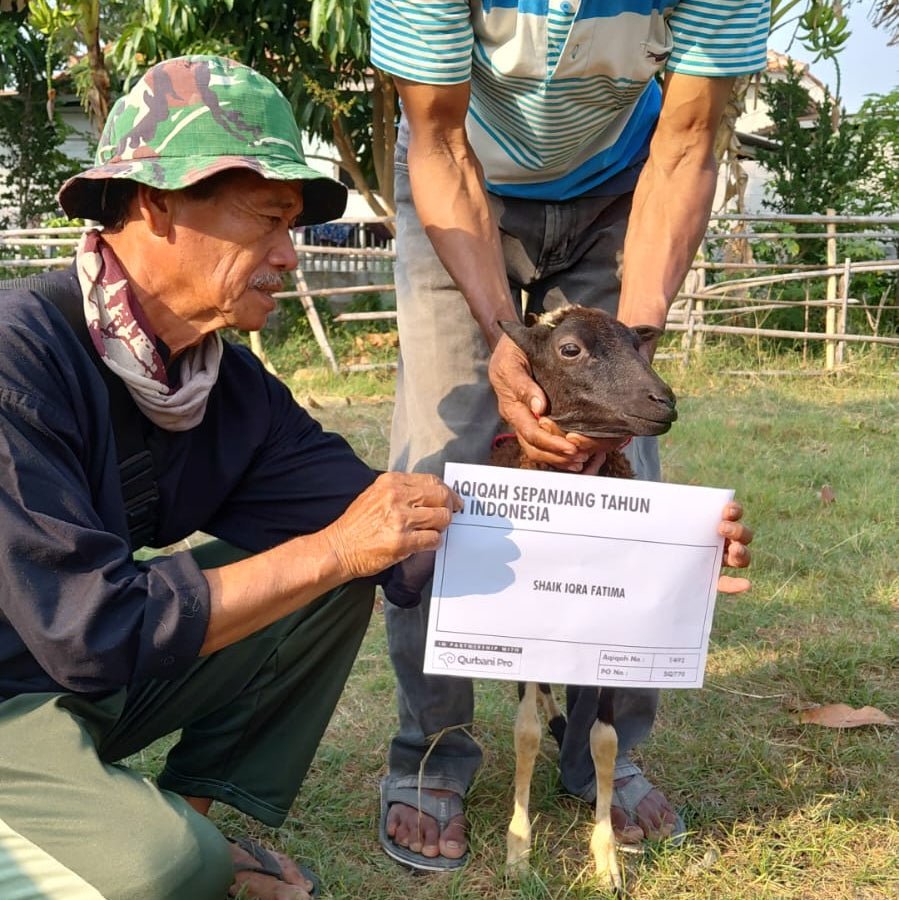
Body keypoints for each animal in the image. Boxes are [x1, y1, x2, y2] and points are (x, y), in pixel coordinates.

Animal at [489, 305, 677, 890]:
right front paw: (518, 852)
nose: (663, 401)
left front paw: (607, 859)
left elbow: (606, 741)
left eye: (637, 345)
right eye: (570, 349)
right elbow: (524, 734)